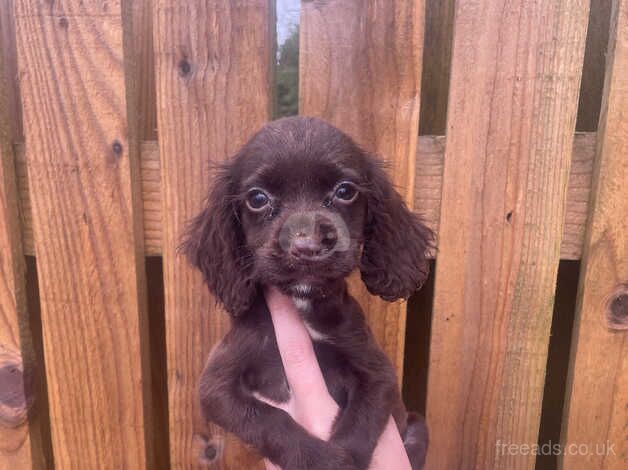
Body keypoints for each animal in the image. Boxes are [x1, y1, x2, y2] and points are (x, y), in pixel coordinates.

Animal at [182, 115, 432, 468]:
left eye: (345, 191)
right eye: (257, 198)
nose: (307, 246)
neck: (303, 304)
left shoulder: (379, 374)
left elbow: (360, 423)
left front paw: (343, 458)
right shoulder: (216, 387)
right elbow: (268, 421)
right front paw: (322, 460)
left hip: (417, 428)